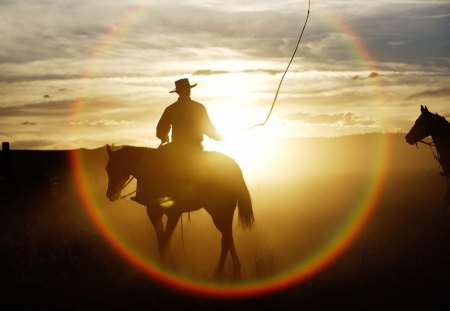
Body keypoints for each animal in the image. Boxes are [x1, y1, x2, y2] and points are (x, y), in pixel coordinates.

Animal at [104, 145, 255, 276]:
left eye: (114, 167)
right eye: (107, 169)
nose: (110, 195)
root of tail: (234, 167)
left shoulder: (174, 214)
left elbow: (165, 240)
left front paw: (166, 265)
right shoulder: (154, 213)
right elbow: (162, 240)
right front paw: (168, 263)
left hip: (219, 213)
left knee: (226, 240)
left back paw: (219, 272)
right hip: (223, 214)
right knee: (228, 239)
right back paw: (234, 269)